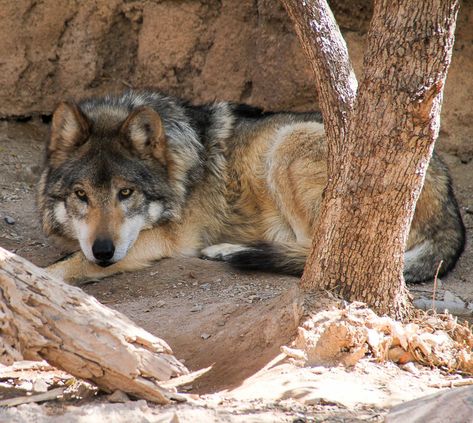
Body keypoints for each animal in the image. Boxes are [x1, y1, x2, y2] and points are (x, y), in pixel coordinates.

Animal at [37, 89, 464, 284]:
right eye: (81, 196)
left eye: (126, 193)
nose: (103, 251)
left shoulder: (168, 239)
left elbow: (64, 264)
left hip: (288, 144)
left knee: (313, 250)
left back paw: (230, 251)